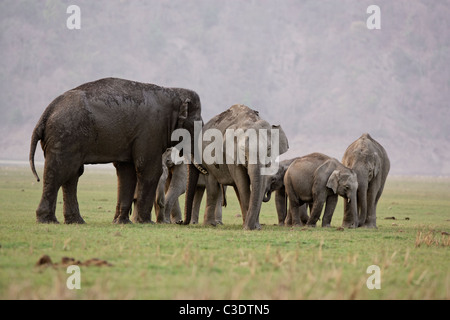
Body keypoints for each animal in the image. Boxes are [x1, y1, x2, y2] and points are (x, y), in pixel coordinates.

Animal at [29, 77, 201, 225]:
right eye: (197, 123)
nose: (181, 223)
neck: (172, 91)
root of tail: (45, 115)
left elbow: (126, 171)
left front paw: (122, 222)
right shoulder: (152, 129)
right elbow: (149, 169)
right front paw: (145, 222)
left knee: (72, 175)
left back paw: (75, 221)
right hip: (65, 135)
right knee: (60, 172)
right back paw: (48, 221)